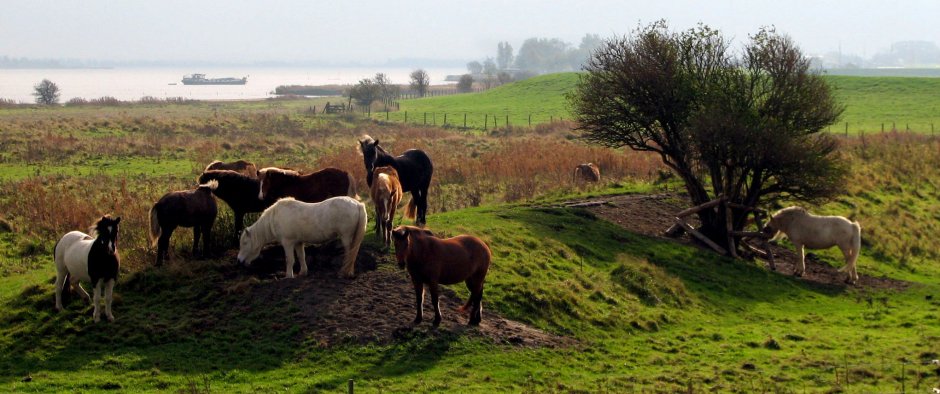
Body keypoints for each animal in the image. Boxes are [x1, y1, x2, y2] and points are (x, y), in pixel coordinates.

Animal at [235, 196, 368, 278]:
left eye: (245, 243)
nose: (239, 260)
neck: (275, 217)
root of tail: (357, 204)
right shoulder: (298, 243)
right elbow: (301, 257)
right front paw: (303, 272)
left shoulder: (288, 243)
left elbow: (290, 259)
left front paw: (288, 276)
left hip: (346, 236)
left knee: (349, 253)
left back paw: (344, 273)